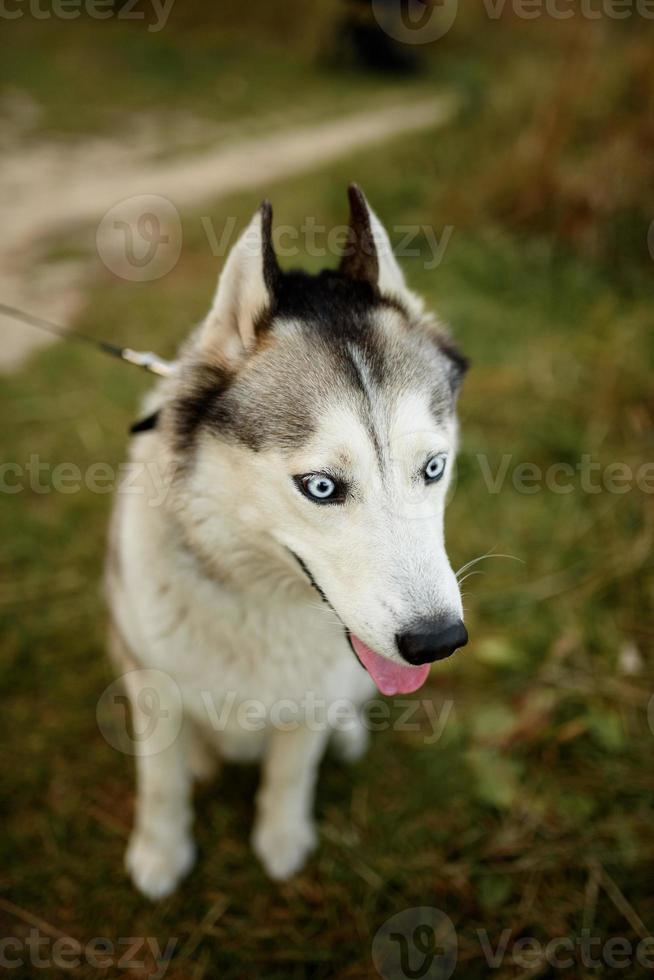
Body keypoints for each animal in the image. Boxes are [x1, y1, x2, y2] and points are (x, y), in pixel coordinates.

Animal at [105, 182, 468, 896]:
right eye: (321, 487)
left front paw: (281, 839)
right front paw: (161, 852)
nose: (438, 641)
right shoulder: (149, 678)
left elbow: (291, 770)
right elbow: (160, 782)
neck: (260, 602)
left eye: (434, 468)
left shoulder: (312, 697)